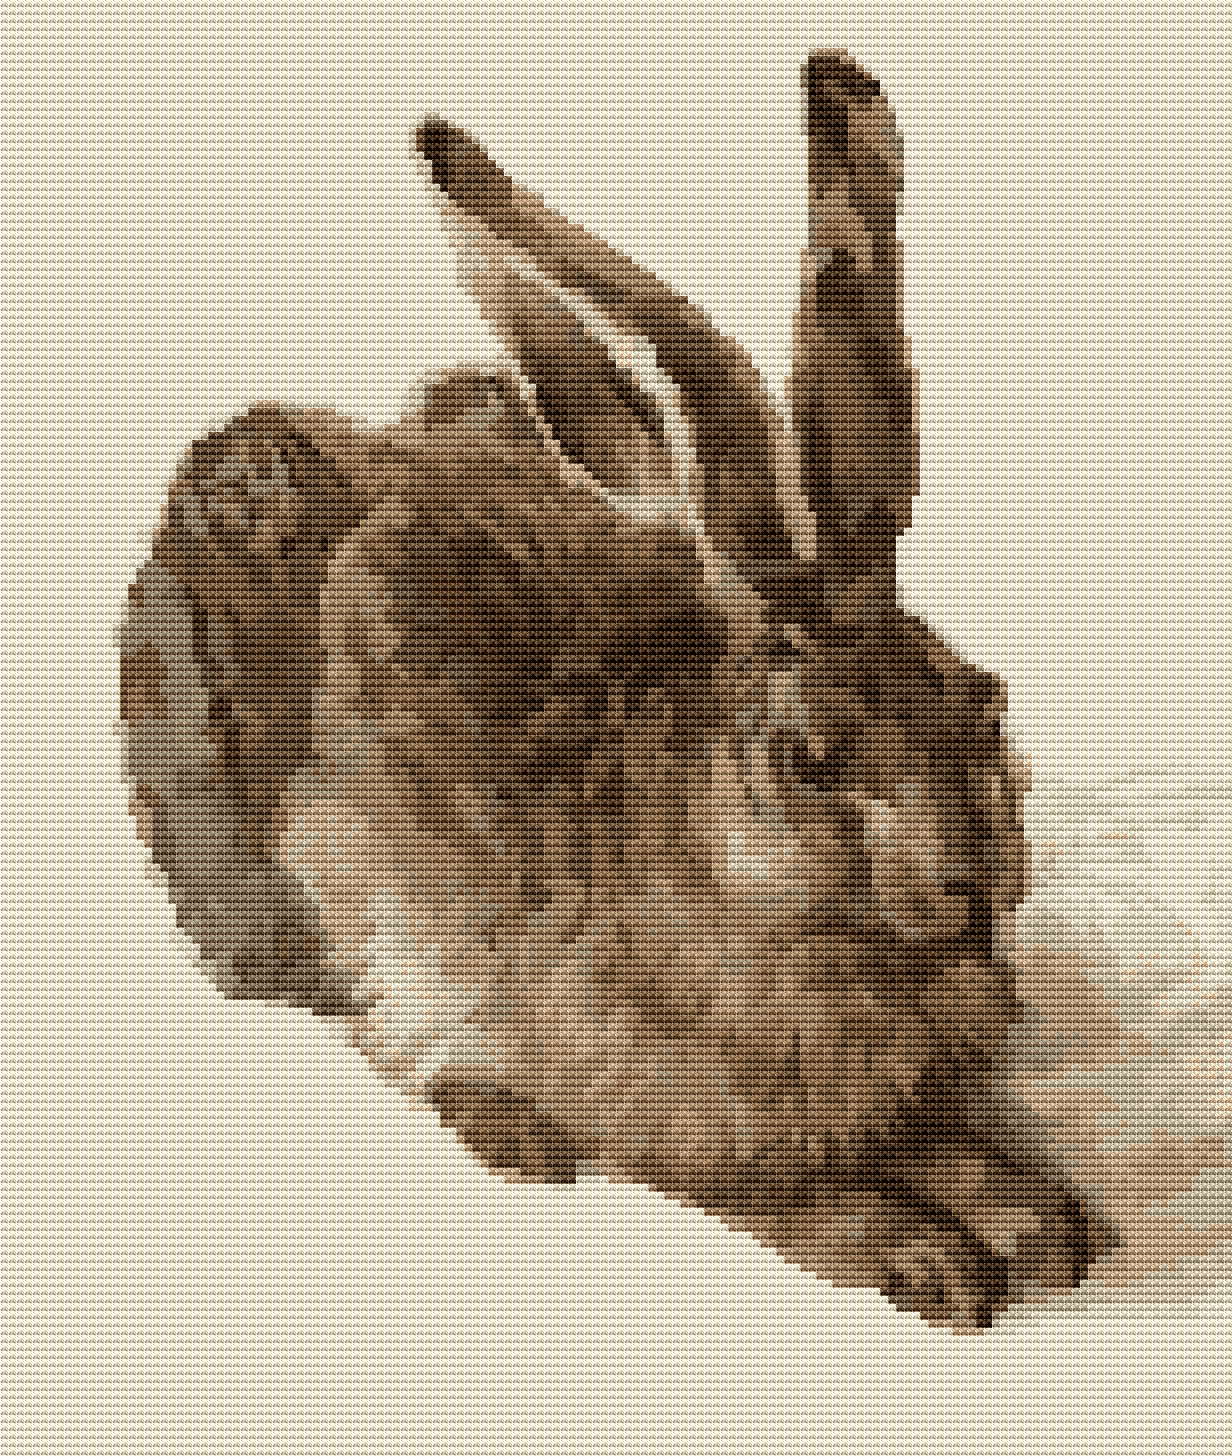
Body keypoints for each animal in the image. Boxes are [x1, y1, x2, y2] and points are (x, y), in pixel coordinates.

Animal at [119, 49, 1112, 1332]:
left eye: (983, 702)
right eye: (807, 759)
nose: (968, 879)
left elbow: (951, 1149)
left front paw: (1044, 1223)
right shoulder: (680, 1120)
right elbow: (797, 1195)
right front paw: (931, 1259)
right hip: (255, 859)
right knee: (342, 1011)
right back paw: (509, 1133)